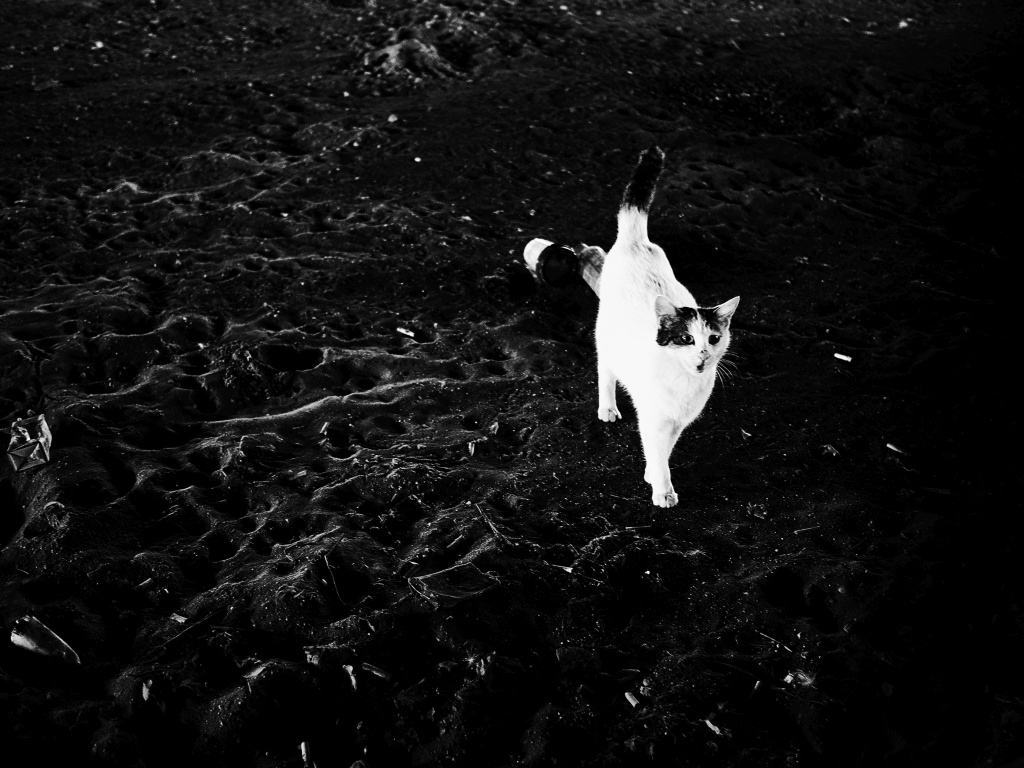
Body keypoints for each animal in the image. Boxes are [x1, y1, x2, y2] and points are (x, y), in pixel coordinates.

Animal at [594, 146, 739, 508]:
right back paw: (607, 407)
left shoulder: (676, 423)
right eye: (686, 338)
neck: (684, 384)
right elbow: (657, 451)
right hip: (605, 338)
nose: (703, 356)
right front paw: (662, 490)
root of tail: (636, 242)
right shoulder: (653, 419)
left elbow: (664, 451)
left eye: (713, 338)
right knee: (605, 372)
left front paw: (652, 474)